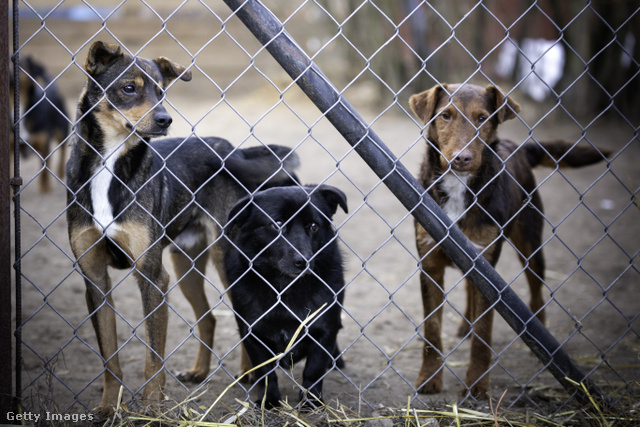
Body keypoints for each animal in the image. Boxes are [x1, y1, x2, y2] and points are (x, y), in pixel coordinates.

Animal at [10, 56, 69, 193]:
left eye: (22, 64)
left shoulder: (44, 145)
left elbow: (44, 172)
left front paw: (44, 188)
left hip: (61, 131)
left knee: (63, 151)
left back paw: (61, 171)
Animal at [65, 42, 300, 418]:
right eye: (128, 88)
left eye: (162, 92)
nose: (165, 120)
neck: (110, 163)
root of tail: (230, 150)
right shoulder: (95, 280)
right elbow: (110, 357)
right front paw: (107, 408)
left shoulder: (153, 277)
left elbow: (153, 359)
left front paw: (151, 409)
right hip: (185, 263)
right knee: (208, 318)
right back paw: (200, 371)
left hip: (226, 260)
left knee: (245, 320)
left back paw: (249, 375)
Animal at [224, 186, 348, 410]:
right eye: (277, 224)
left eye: (314, 226)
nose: (304, 261)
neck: (286, 288)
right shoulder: (253, 334)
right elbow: (265, 374)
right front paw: (269, 401)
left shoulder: (324, 330)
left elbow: (314, 370)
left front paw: (310, 402)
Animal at [410, 83, 608, 398]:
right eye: (445, 116)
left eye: (482, 118)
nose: (462, 158)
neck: (459, 187)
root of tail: (519, 147)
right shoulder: (430, 264)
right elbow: (431, 330)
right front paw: (429, 378)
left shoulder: (486, 270)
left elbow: (484, 333)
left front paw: (477, 384)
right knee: (470, 290)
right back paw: (465, 325)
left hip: (530, 245)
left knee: (537, 293)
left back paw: (540, 342)